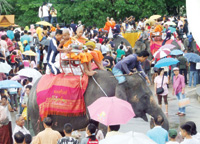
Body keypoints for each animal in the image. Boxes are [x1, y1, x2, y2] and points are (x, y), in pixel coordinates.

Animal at [27, 69, 169, 135]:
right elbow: (103, 128)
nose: (155, 120)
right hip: (36, 113)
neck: (118, 79)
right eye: (145, 96)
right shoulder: (100, 100)